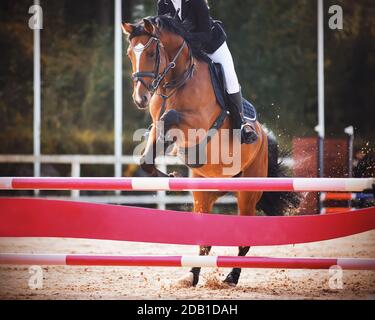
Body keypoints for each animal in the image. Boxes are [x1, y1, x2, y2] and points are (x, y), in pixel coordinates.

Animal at [123, 15, 300, 288]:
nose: (140, 98)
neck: (176, 81)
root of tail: (264, 139)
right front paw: (170, 175)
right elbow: (149, 153)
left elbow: (169, 116)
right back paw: (192, 275)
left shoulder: (199, 123)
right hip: (205, 192)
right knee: (204, 240)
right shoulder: (158, 122)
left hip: (248, 192)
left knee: (244, 240)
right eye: (130, 53)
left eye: (152, 53)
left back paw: (231, 277)